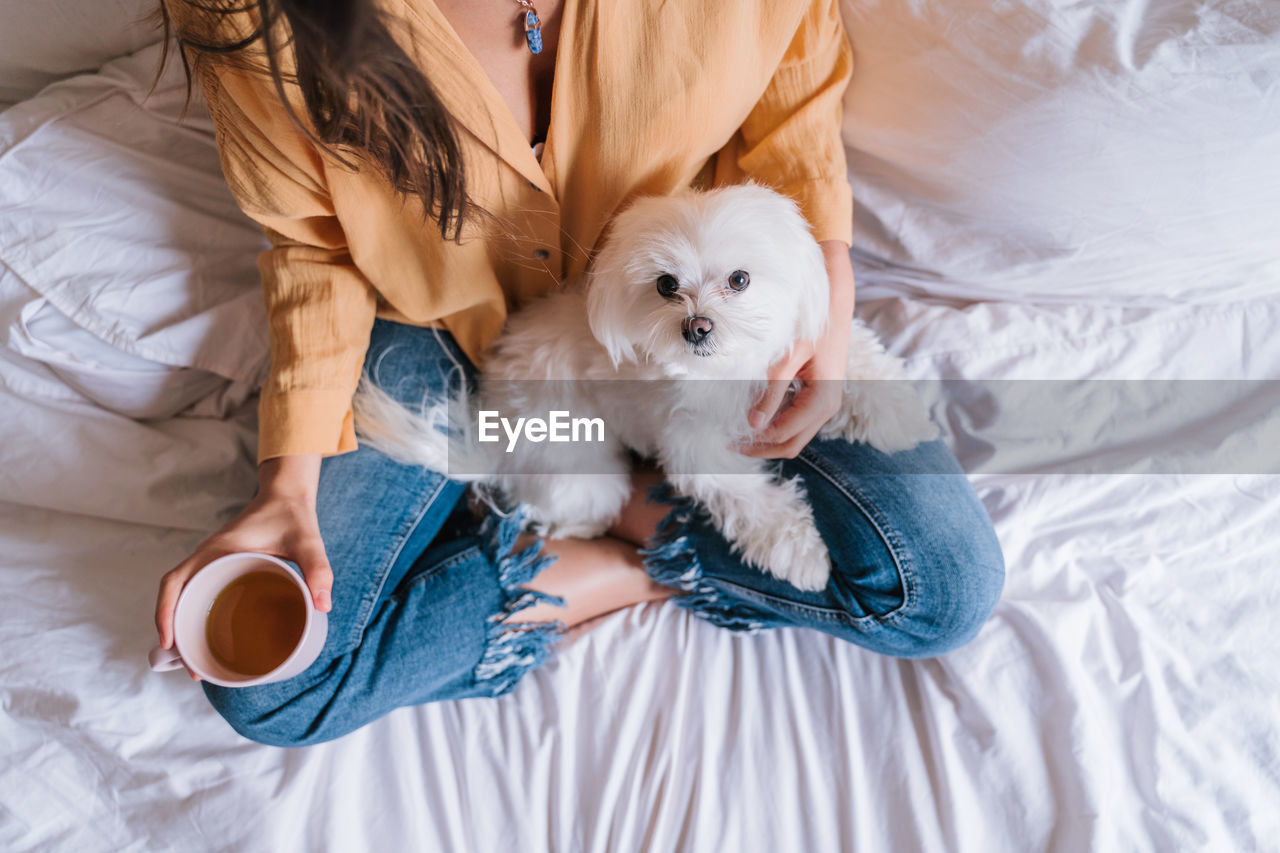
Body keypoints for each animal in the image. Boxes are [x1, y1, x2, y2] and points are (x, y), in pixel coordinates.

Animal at [355, 183, 936, 589]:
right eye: (665, 285)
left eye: (740, 279)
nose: (697, 326)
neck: (730, 367)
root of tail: (492, 435)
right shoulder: (694, 445)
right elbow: (749, 499)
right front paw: (800, 554)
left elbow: (851, 360)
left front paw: (899, 414)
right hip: (580, 471)